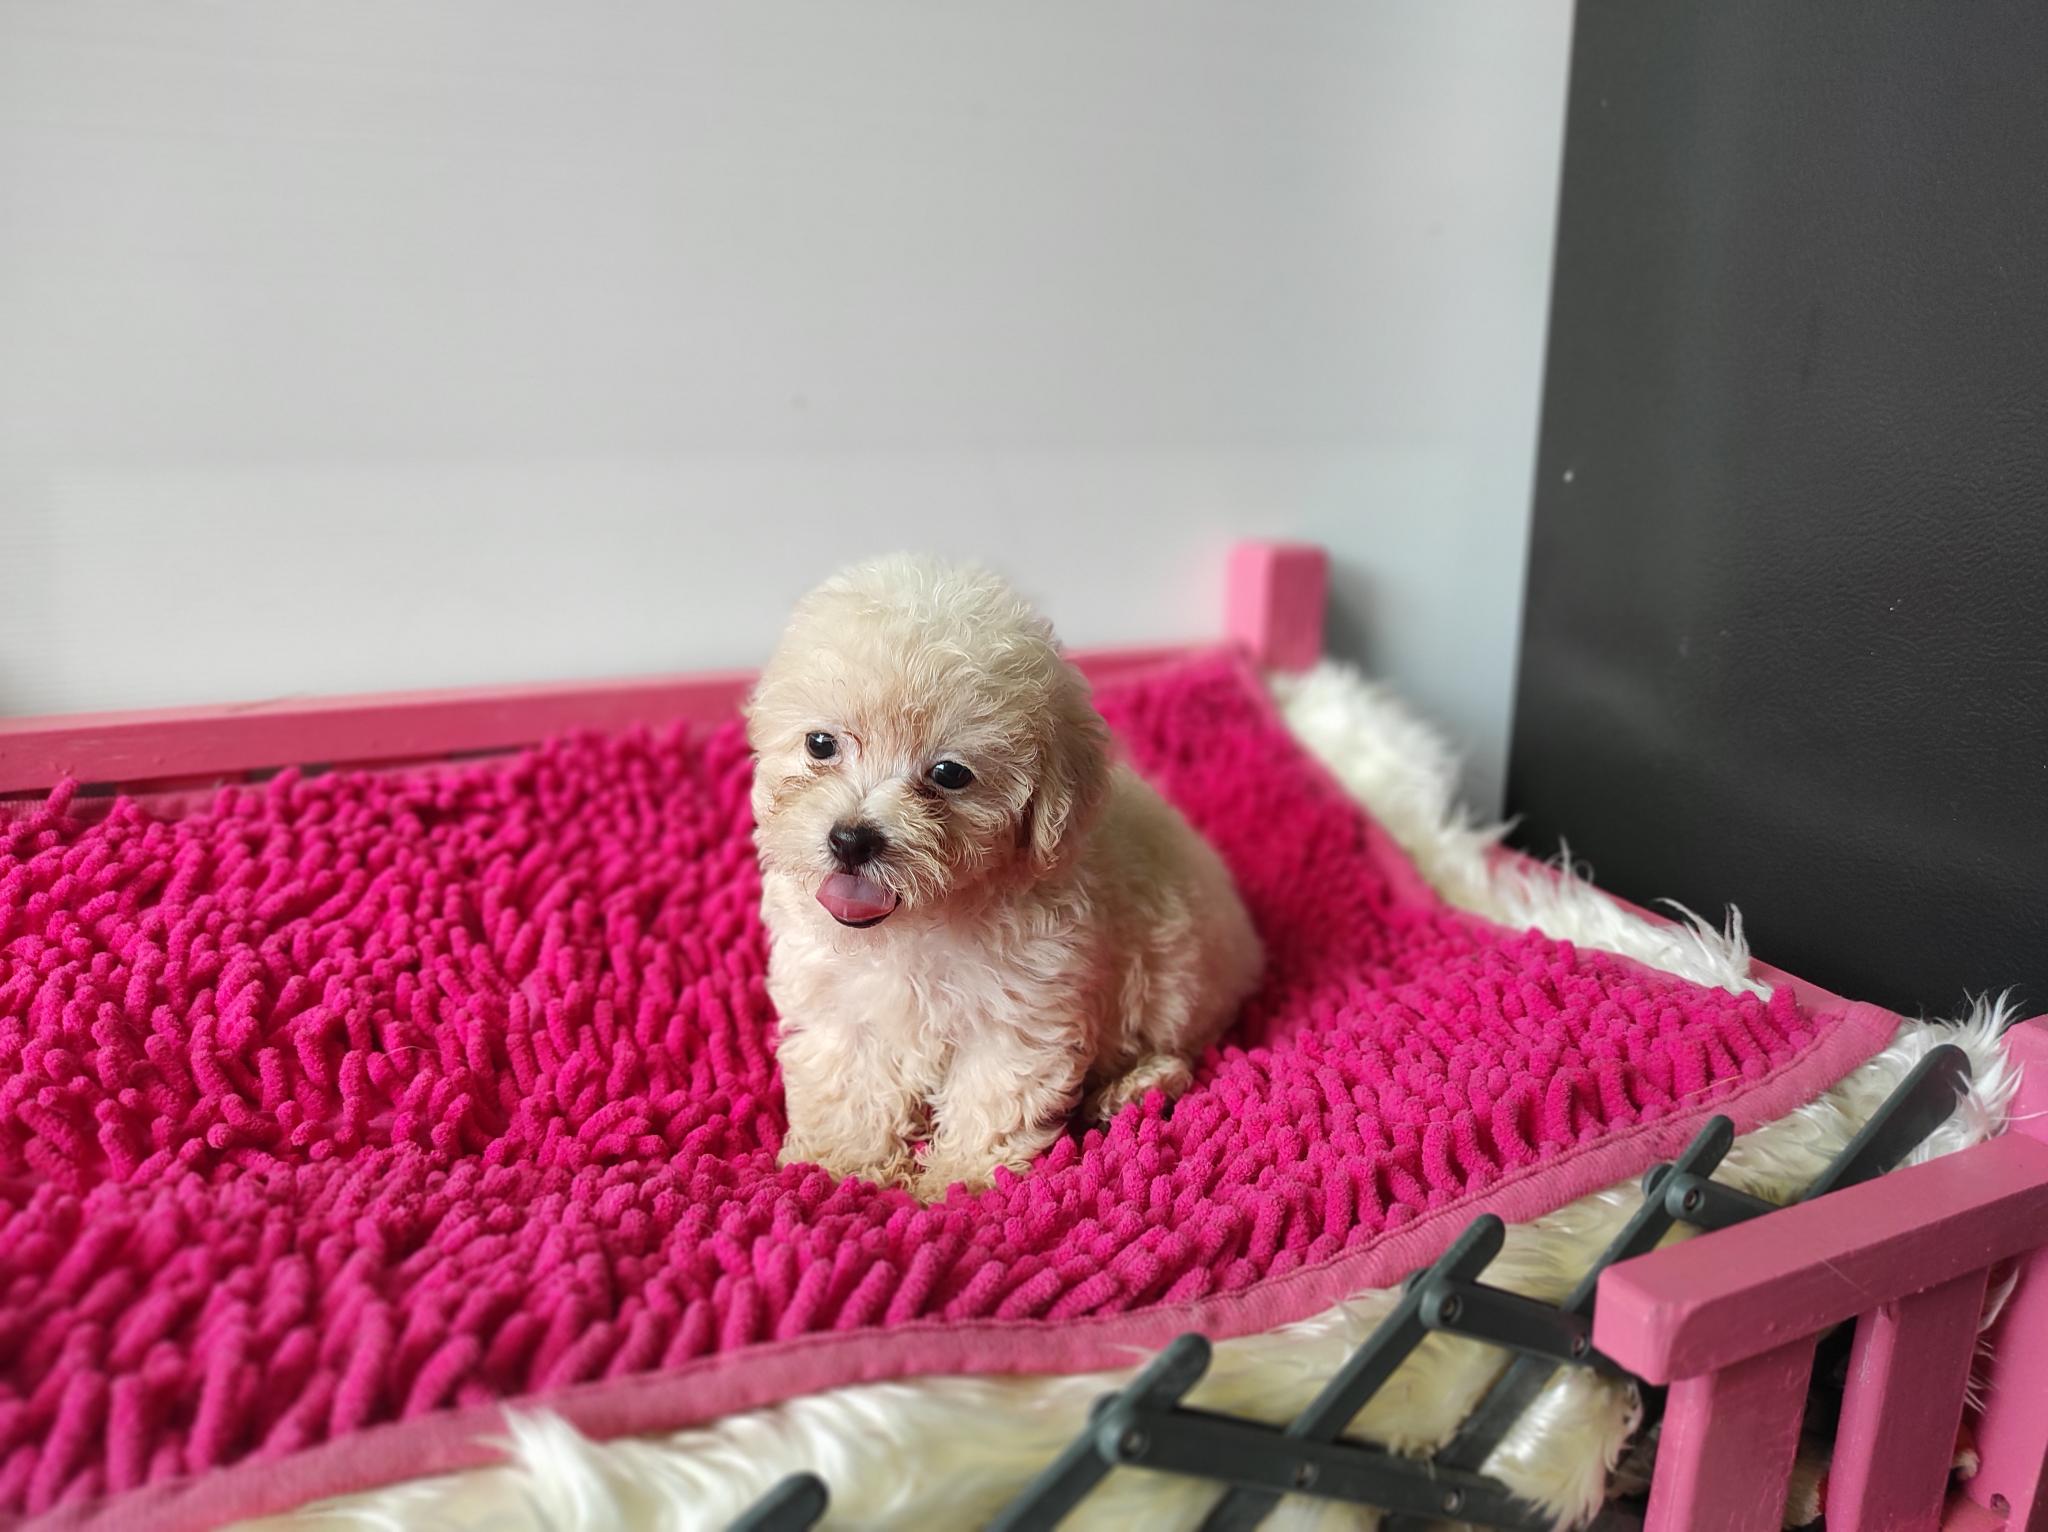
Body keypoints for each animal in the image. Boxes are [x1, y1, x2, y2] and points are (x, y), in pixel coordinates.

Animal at [746, 555, 1263, 1201]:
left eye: (949, 773)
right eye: (820, 744)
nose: (851, 839)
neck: (916, 922)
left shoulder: (1023, 1005)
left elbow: (993, 1090)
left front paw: (957, 1182)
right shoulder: (839, 1001)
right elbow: (847, 1079)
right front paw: (837, 1168)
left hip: (1175, 989)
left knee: (1180, 1049)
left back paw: (1134, 1089)